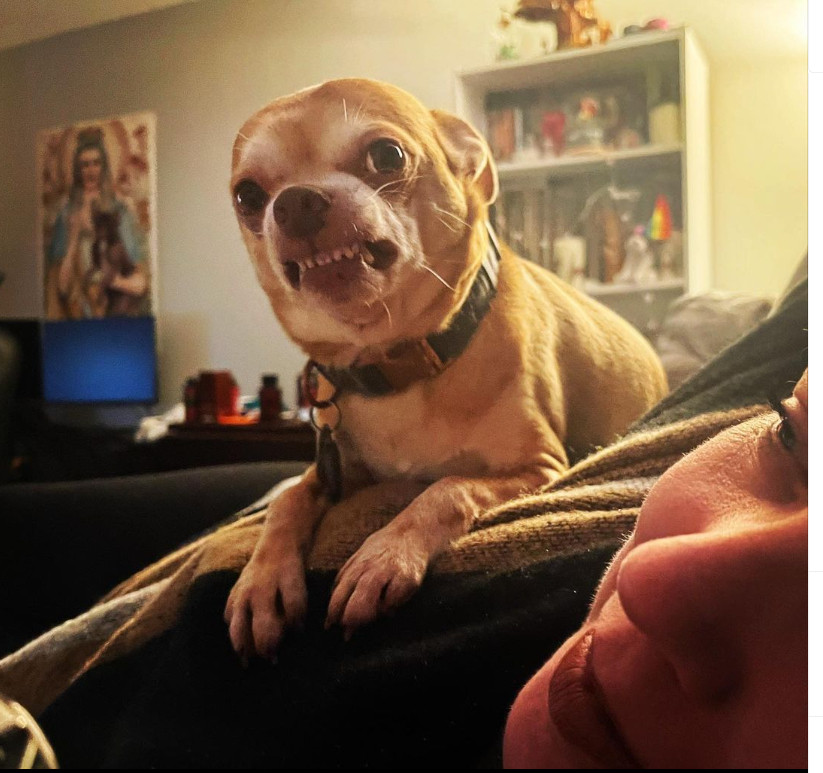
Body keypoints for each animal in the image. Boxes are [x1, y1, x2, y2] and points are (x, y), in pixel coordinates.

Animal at [225, 80, 668, 656]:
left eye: (387, 156)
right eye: (247, 196)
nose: (296, 201)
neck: (397, 364)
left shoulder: (539, 468)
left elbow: (448, 487)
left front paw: (384, 555)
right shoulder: (338, 472)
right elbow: (287, 502)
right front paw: (261, 582)